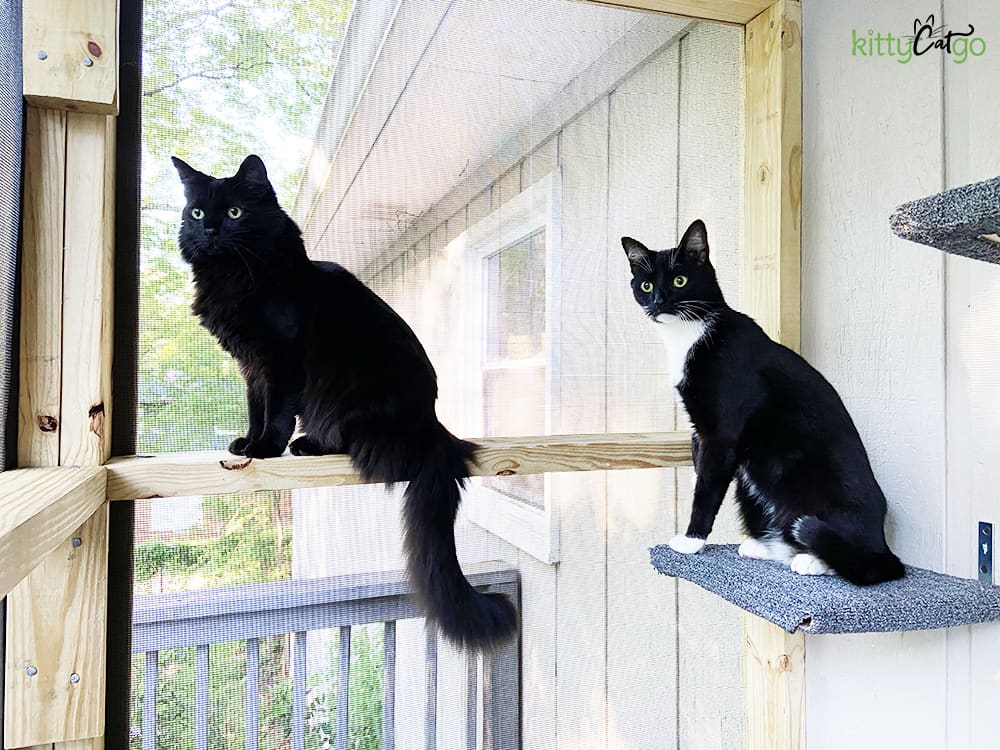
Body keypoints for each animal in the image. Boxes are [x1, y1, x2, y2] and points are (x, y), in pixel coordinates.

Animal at [172, 156, 516, 648]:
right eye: (197, 212)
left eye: (235, 212)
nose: (211, 230)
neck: (237, 276)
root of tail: (434, 426)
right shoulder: (250, 366)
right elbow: (255, 408)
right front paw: (246, 444)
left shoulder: (280, 357)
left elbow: (276, 412)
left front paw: (265, 449)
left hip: (353, 401)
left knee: (347, 442)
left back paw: (305, 445)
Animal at [620, 220, 904, 584]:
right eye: (645, 284)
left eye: (679, 280)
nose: (657, 301)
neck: (691, 333)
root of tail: (884, 543)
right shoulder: (699, 431)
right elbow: (699, 474)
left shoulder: (721, 433)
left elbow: (707, 488)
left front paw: (691, 541)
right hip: (751, 485)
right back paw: (764, 547)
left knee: (859, 559)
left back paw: (814, 560)